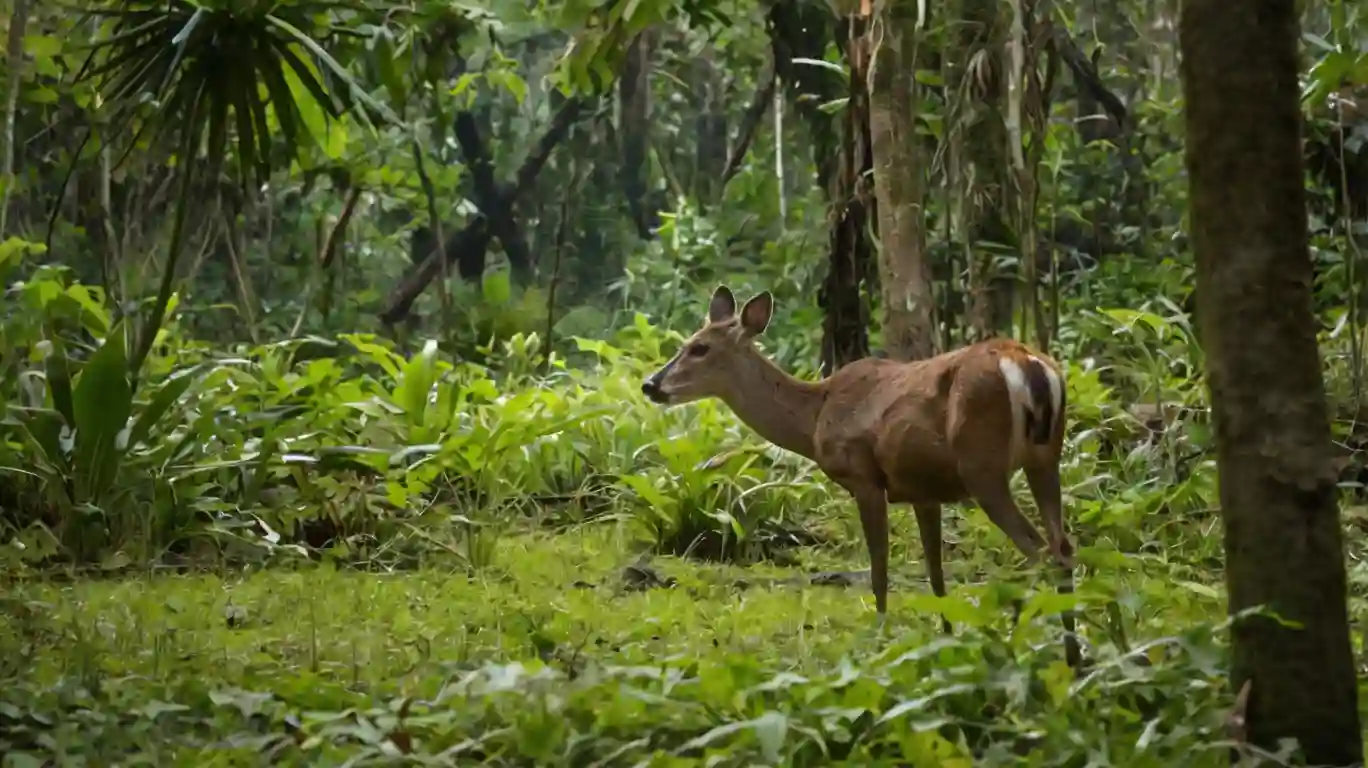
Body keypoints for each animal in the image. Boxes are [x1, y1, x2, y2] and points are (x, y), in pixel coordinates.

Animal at [637, 284, 1077, 662]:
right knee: (1064, 548)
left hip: (981, 464)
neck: (815, 416)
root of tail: (1027, 364)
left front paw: (880, 640)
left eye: (700, 348)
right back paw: (1074, 654)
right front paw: (946, 641)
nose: (650, 385)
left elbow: (879, 571)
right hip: (1045, 458)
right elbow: (936, 577)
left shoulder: (864, 478)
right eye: (685, 344)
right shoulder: (923, 488)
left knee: (1041, 552)